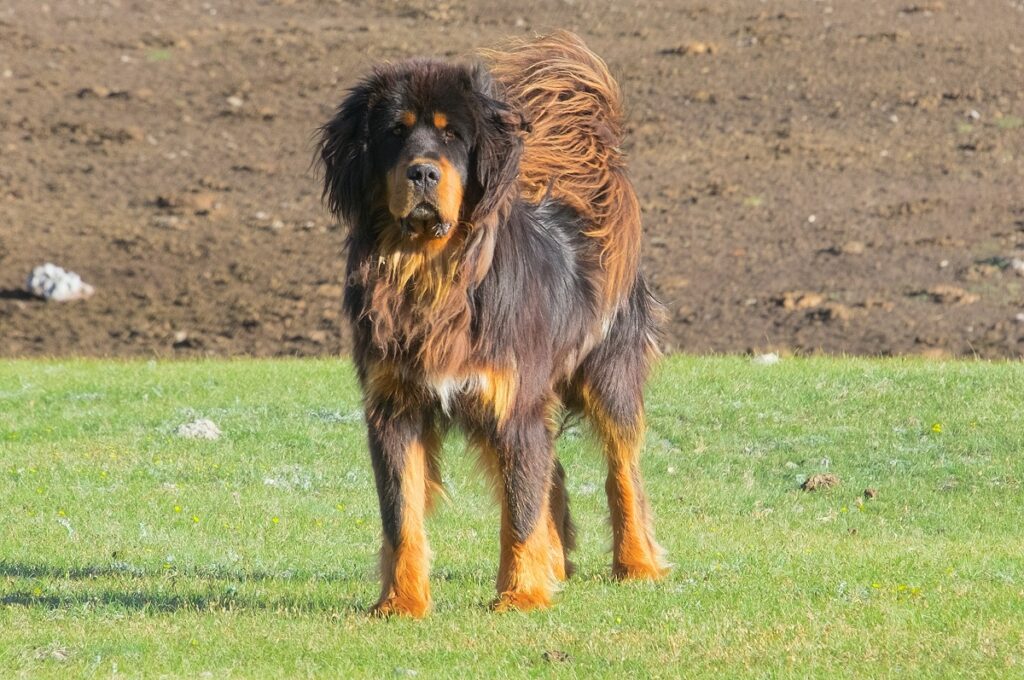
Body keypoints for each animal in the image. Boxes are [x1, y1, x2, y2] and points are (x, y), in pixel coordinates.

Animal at [319, 31, 667, 614]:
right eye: (394, 133)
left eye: (452, 135)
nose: (422, 171)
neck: (432, 274)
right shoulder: (395, 406)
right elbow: (401, 515)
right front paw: (401, 603)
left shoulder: (513, 402)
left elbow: (519, 512)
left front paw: (521, 595)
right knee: (552, 473)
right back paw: (557, 564)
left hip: (606, 375)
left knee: (622, 472)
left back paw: (637, 562)